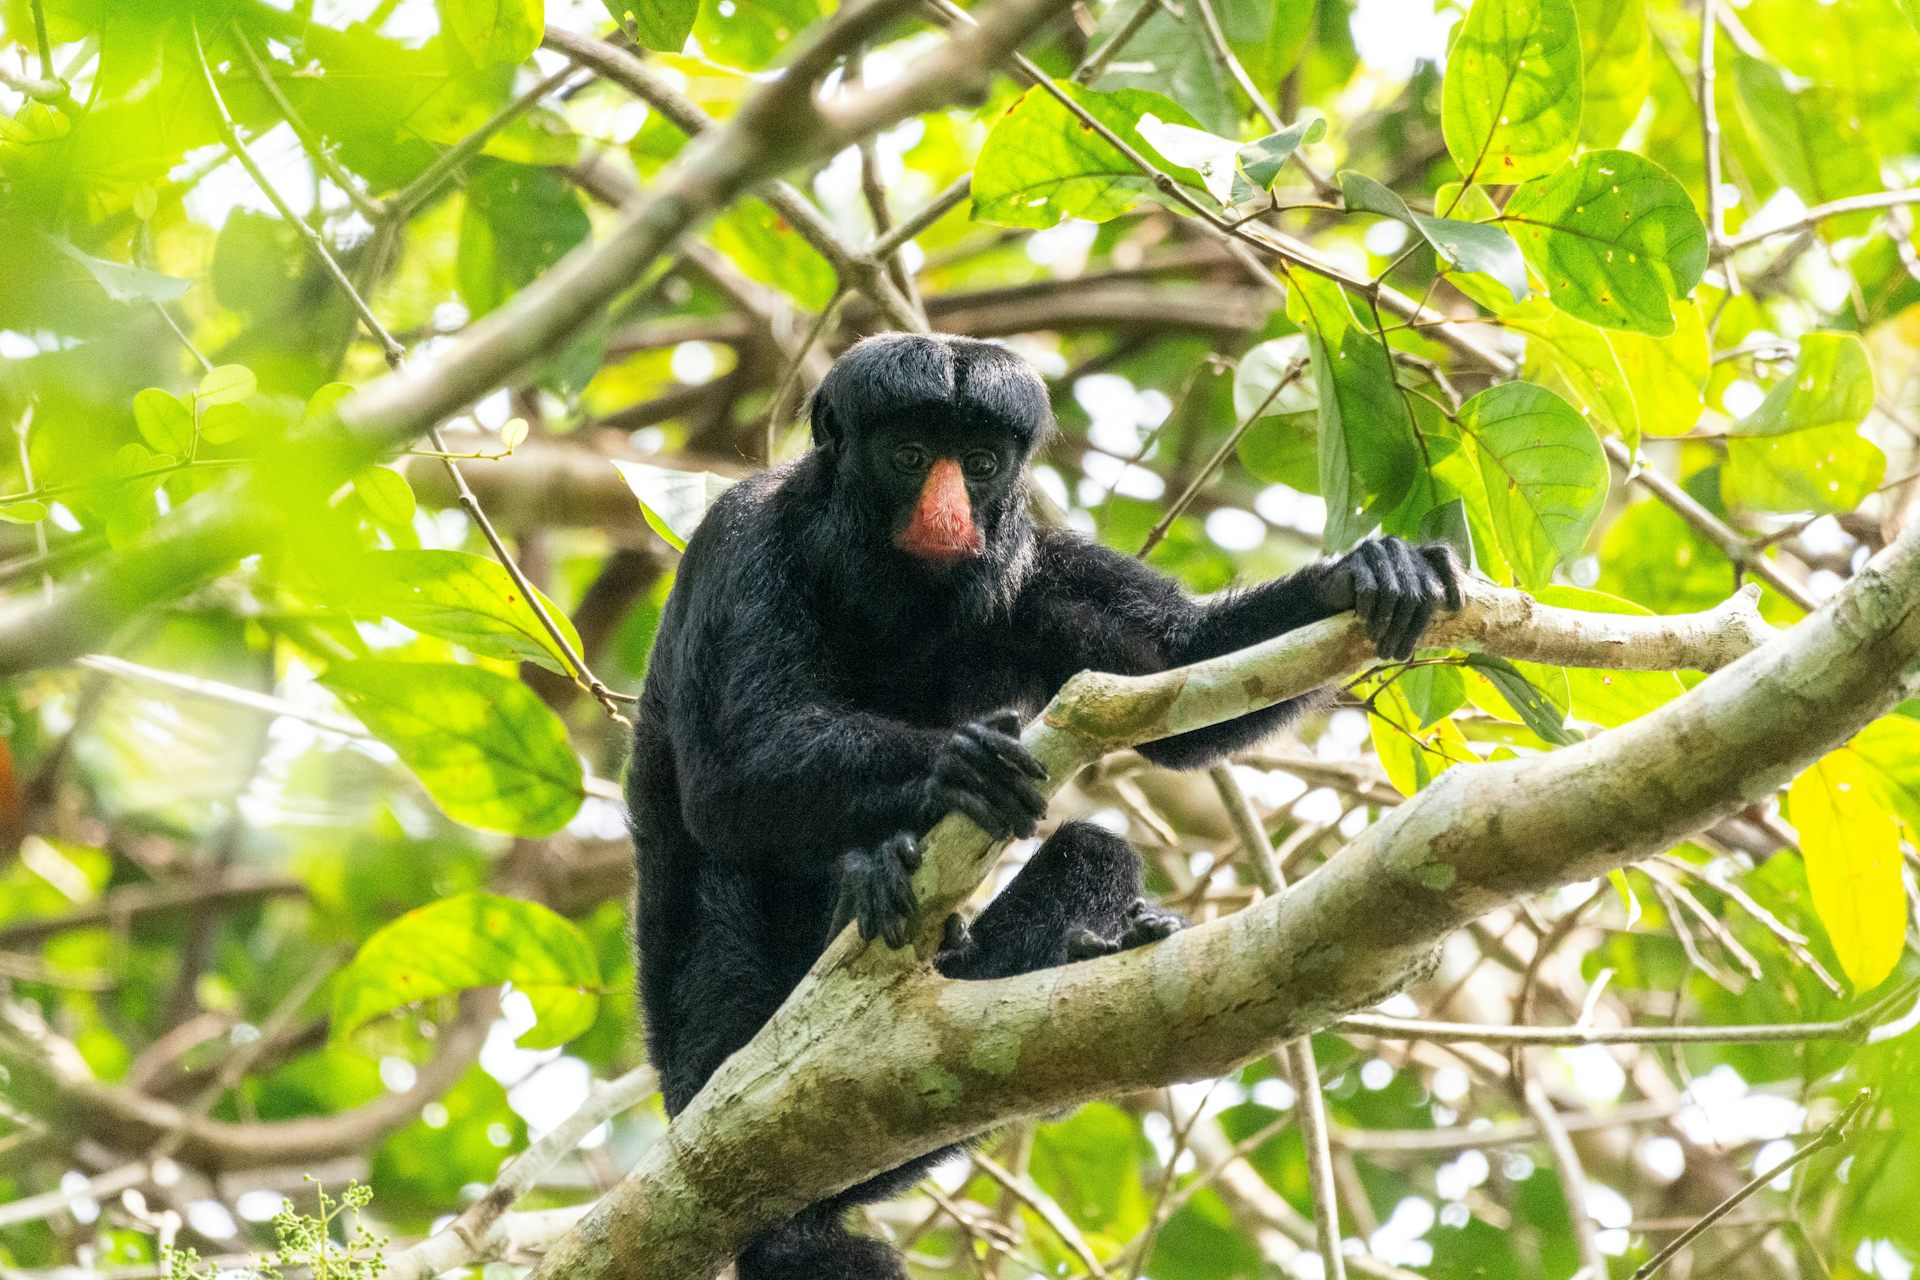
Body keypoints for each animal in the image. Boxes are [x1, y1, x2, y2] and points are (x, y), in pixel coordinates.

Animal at [625, 332, 1463, 1279]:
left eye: (981, 466)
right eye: (909, 455)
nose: (948, 519)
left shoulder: (1031, 570)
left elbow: (1177, 666)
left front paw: (1356, 577)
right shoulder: (741, 538)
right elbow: (727, 774)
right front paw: (956, 769)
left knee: (1097, 851)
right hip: (711, 1042)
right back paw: (871, 881)